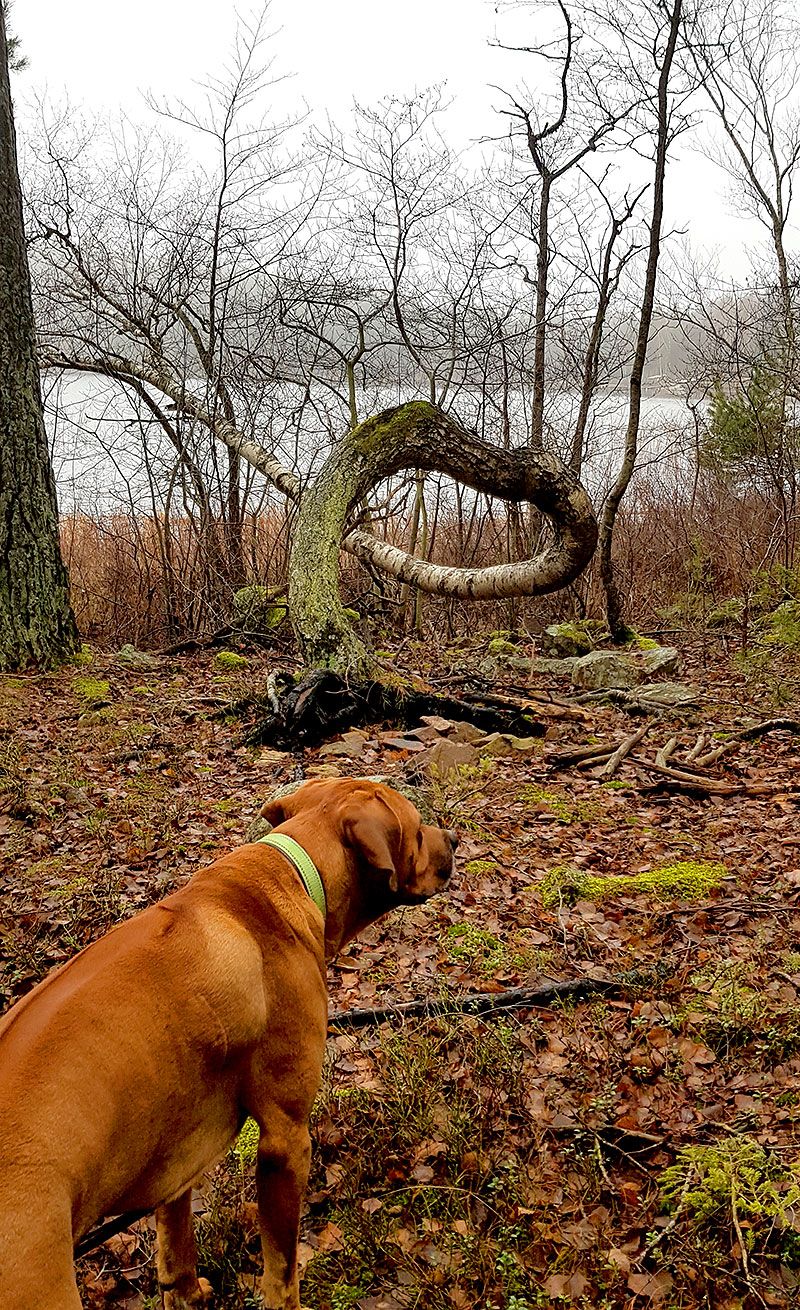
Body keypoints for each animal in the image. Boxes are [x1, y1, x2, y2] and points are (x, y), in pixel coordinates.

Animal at [0, 780, 458, 1304]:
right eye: (418, 827)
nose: (454, 839)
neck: (294, 871)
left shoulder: (175, 1146)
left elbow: (175, 1240)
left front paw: (186, 1292)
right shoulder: (285, 1139)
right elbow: (282, 1268)